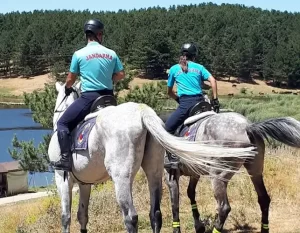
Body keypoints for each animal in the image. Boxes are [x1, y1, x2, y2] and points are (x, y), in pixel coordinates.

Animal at [48, 81, 256, 232]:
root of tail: (142, 112)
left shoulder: (62, 179)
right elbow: (82, 215)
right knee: (155, 213)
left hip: (122, 178)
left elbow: (65, 217)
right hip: (154, 172)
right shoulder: (85, 184)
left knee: (131, 217)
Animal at [162, 103, 300, 233]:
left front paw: (177, 229)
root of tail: (247, 126)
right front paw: (199, 226)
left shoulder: (171, 175)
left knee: (223, 208)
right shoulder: (194, 174)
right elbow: (190, 193)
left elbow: (175, 204)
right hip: (255, 172)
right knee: (264, 199)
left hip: (218, 177)